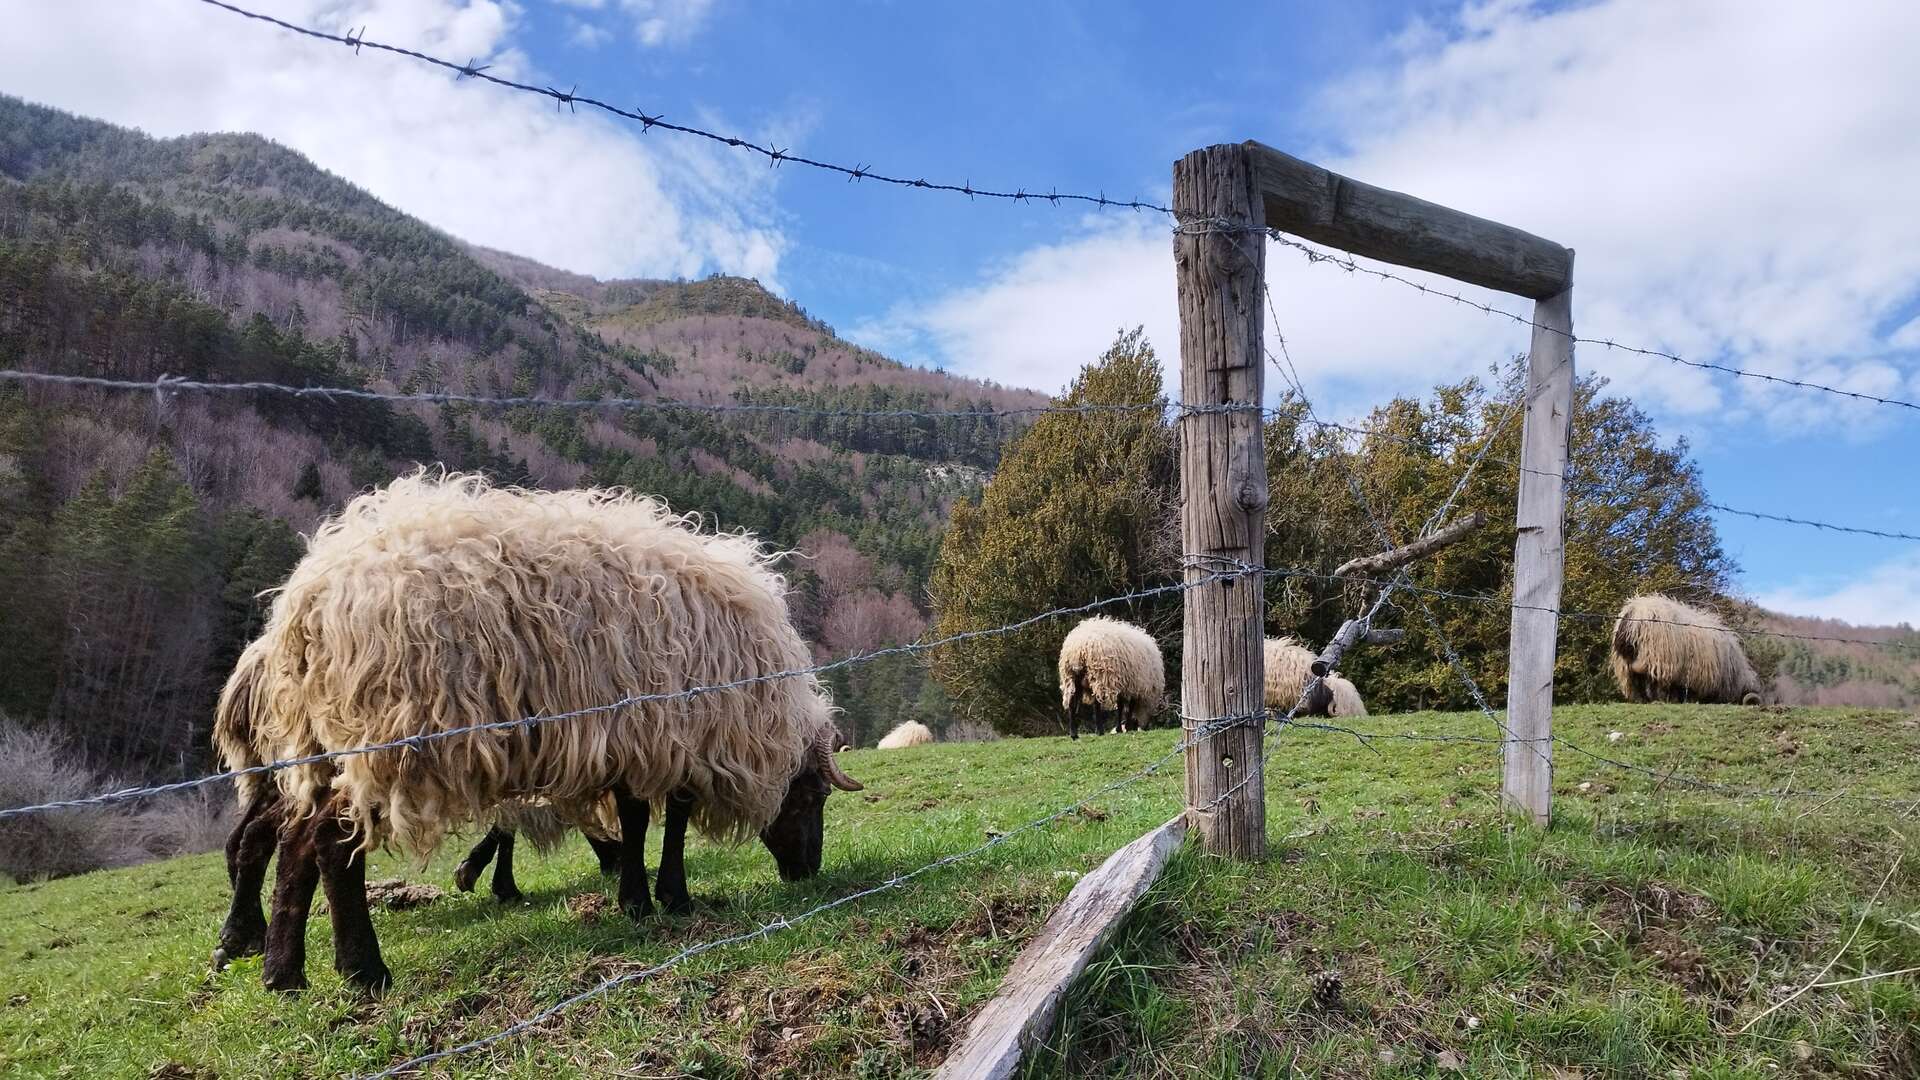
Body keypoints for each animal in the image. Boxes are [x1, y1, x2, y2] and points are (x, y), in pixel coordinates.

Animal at [245, 470, 864, 992]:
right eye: (815, 795)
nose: (808, 872)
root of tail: (306, 598)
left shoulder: (636, 734)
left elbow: (637, 818)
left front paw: (639, 899)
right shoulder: (670, 731)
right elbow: (664, 818)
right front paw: (666, 897)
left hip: (321, 743)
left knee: (295, 839)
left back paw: (283, 973)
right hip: (378, 738)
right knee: (329, 841)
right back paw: (363, 970)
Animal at [1611, 594, 1764, 705]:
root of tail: (1633, 613)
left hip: (1628, 664)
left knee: (1638, 682)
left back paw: (1644, 700)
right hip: (1657, 659)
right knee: (1653, 682)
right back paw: (1657, 699)